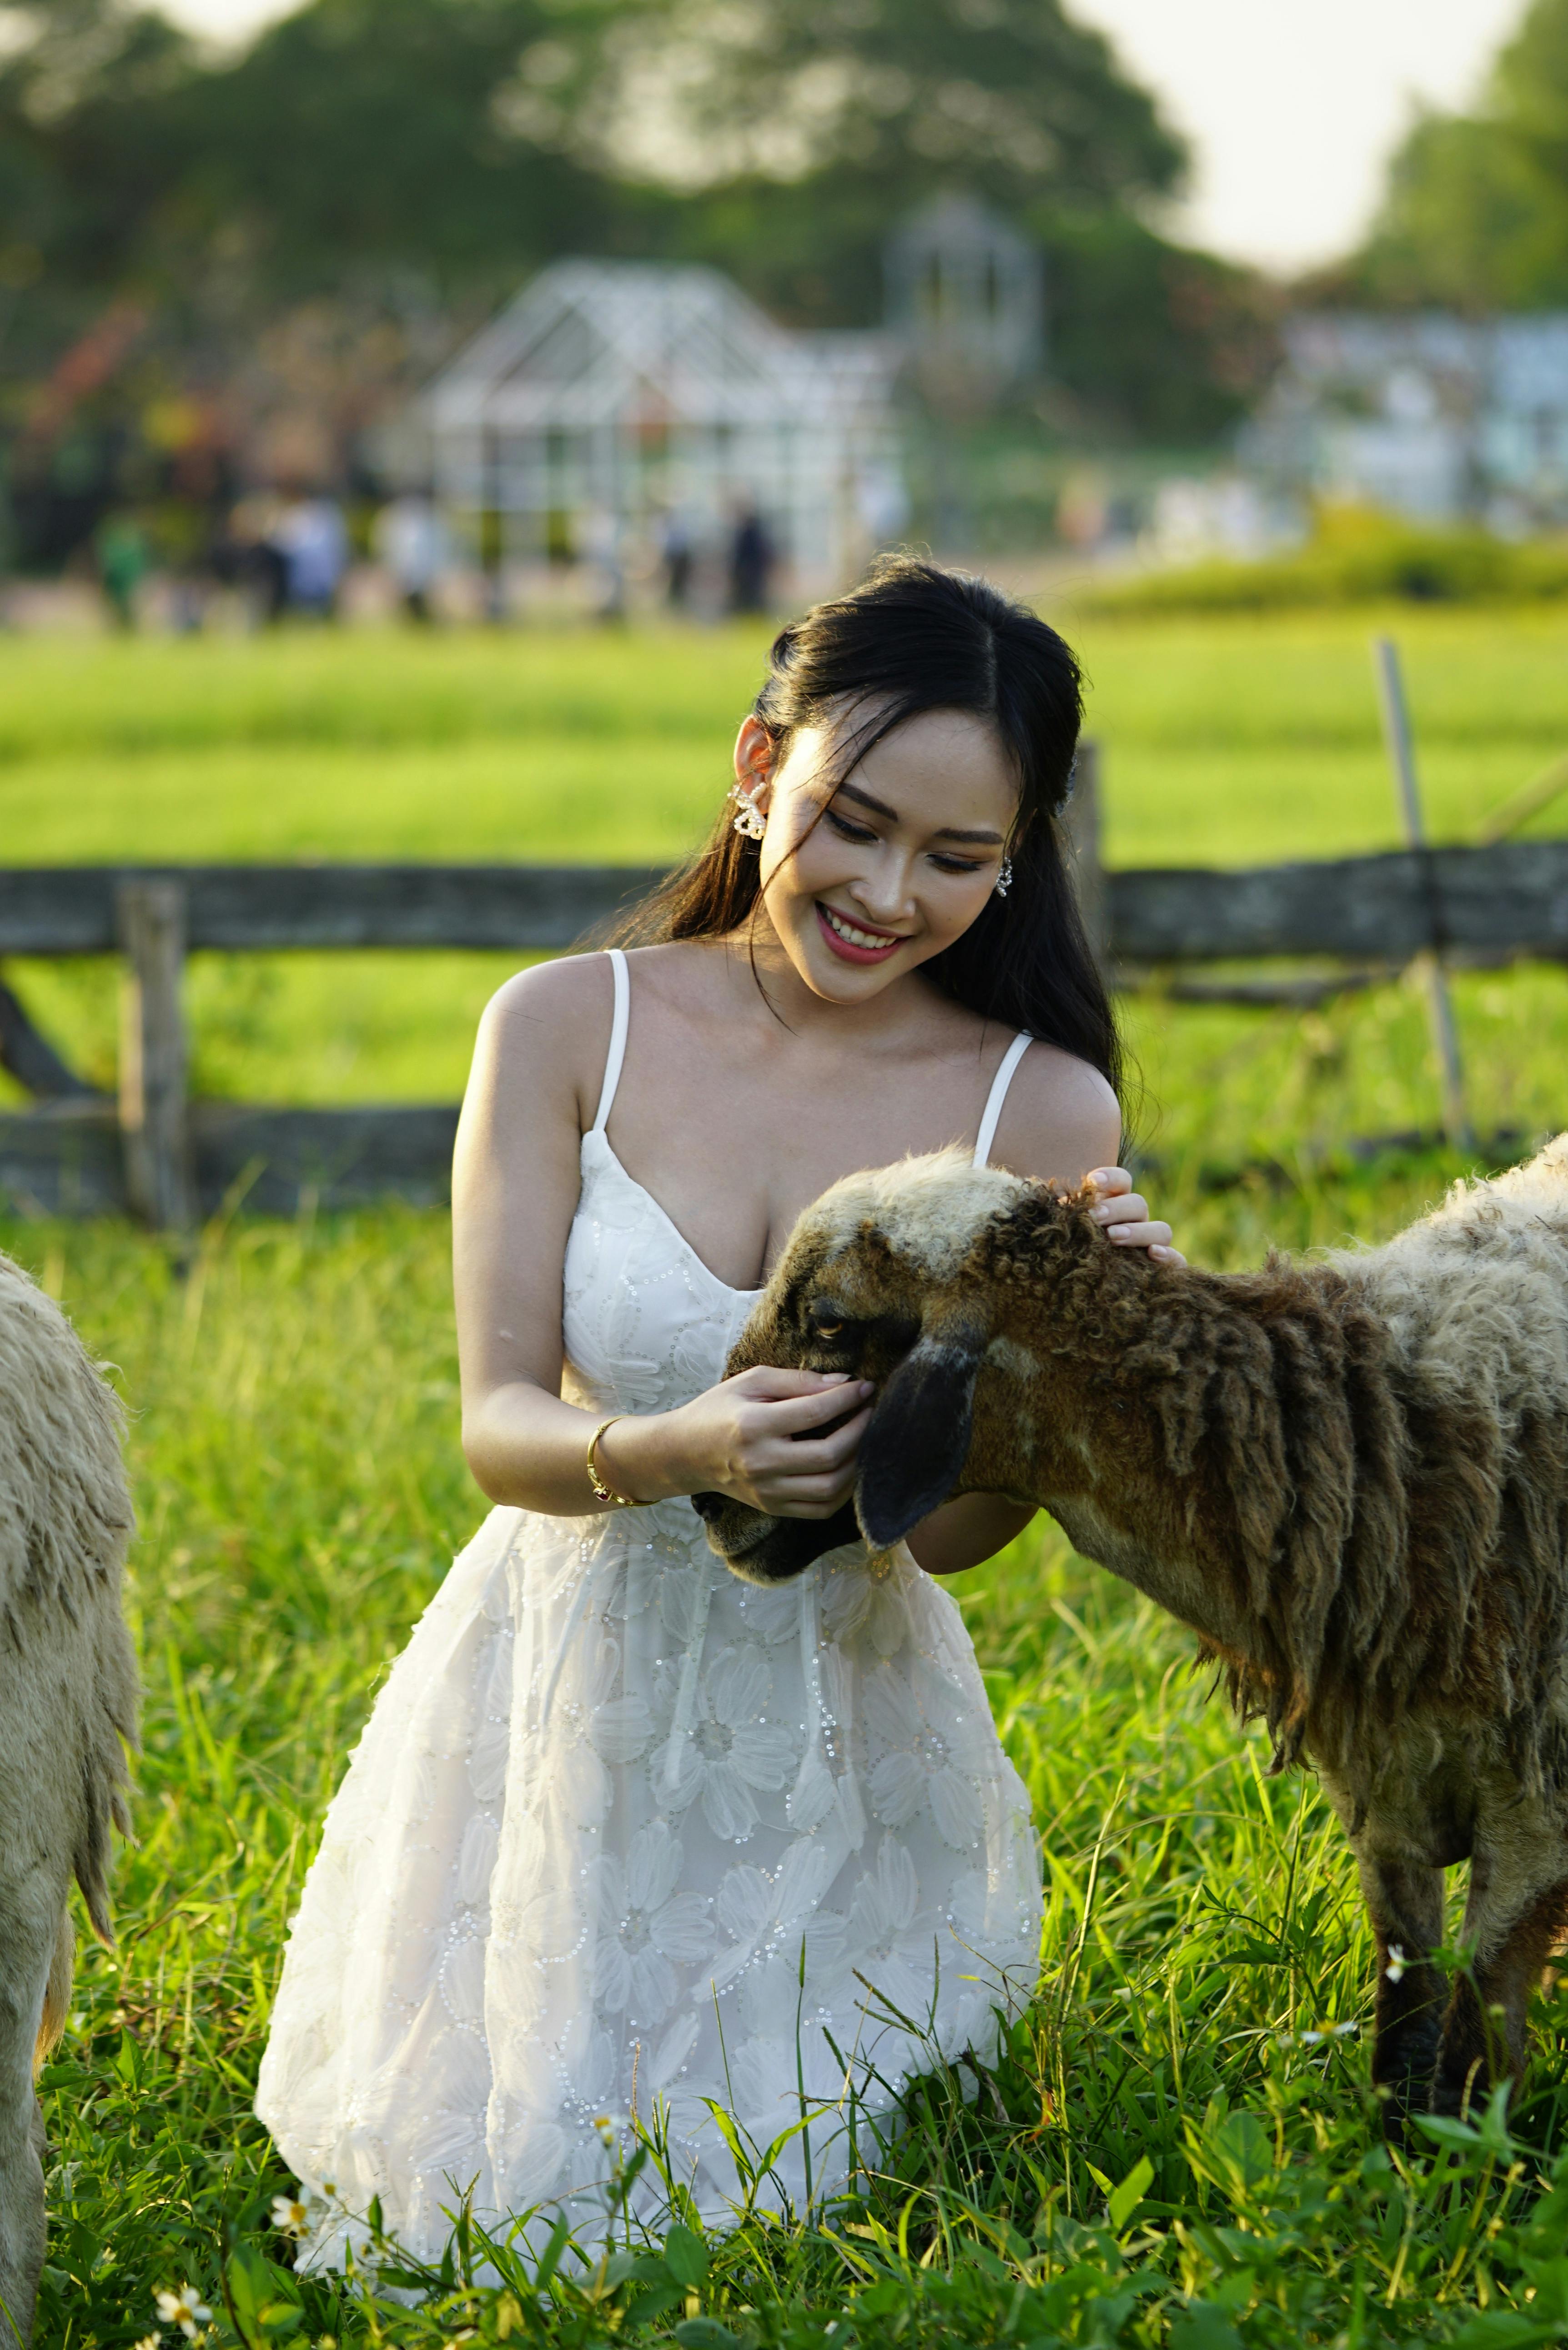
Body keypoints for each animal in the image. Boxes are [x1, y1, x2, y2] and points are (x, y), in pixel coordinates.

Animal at [700, 1137, 1568, 2134]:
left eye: (831, 1319)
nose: (709, 1502)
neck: (1366, 1448)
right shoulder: (1384, 1789)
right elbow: (1407, 2034)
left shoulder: (1533, 1803)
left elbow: (1466, 2050)